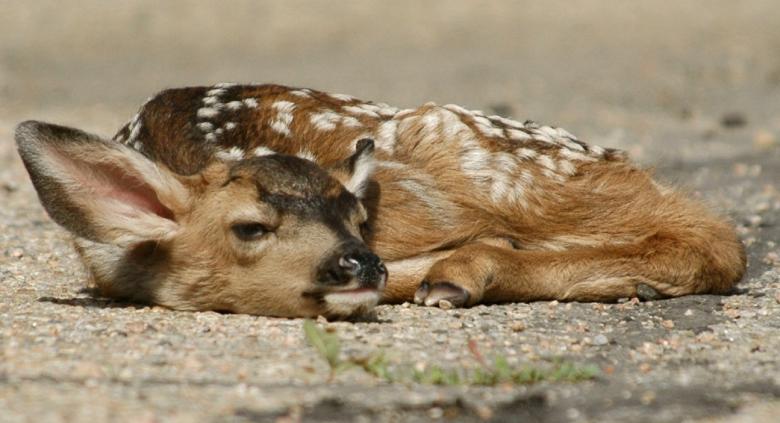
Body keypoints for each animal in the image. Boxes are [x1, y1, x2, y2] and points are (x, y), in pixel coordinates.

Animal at [15, 83, 746, 319]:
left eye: (356, 216)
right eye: (250, 227)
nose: (358, 262)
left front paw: (462, 268)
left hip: (481, 158)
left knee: (712, 235)